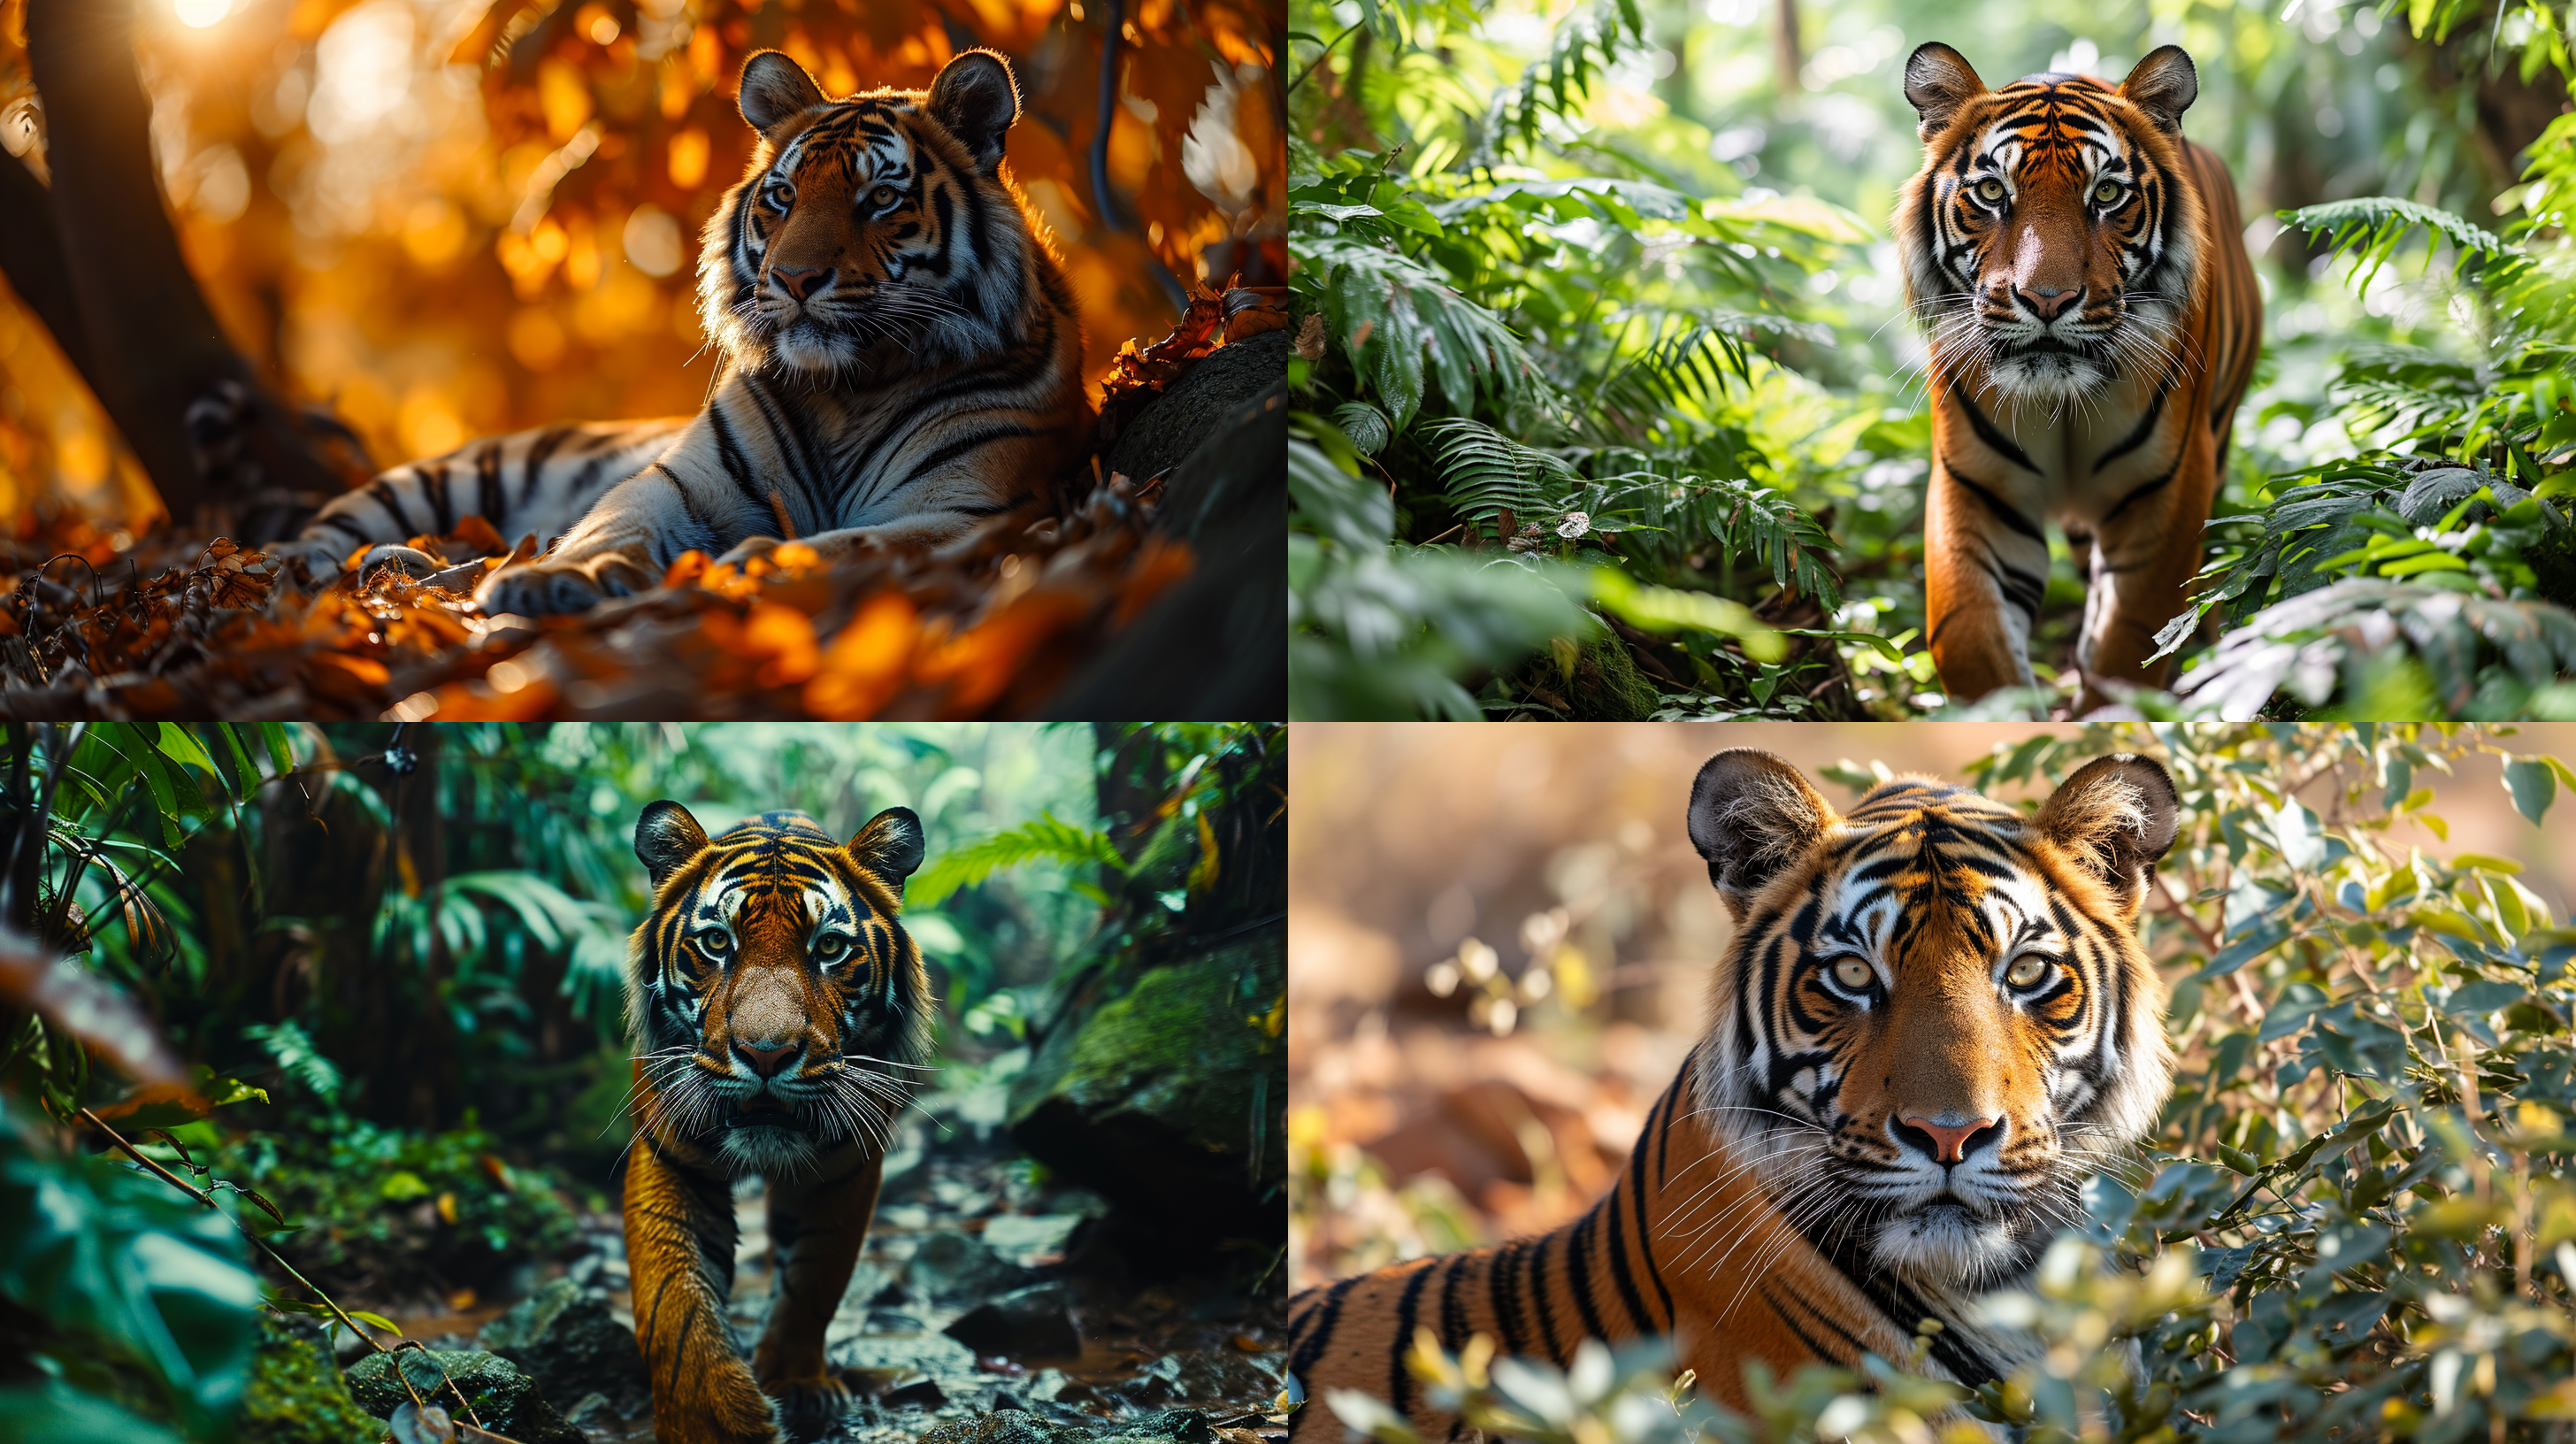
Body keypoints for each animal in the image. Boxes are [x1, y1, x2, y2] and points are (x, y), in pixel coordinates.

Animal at [288, 45, 1089, 616]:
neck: (849, 391)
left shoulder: (969, 508)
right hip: (438, 479)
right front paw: (554, 578)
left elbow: (862, 540)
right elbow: (614, 524)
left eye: (881, 199)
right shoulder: (680, 483)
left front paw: (763, 560)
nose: (794, 279)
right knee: (316, 535)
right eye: (784, 196)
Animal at [622, 801, 935, 1444]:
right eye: (717, 942)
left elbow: (812, 1280)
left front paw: (796, 1384)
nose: (766, 1053)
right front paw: (710, 1421)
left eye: (830, 947)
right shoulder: (668, 1157)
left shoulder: (844, 1168)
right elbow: (673, 1300)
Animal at [1897, 44, 2261, 714]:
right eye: (1993, 191)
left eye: (2108, 194)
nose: (2047, 299)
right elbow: (1969, 641)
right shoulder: (1975, 489)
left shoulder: (2168, 489)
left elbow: (2129, 643)